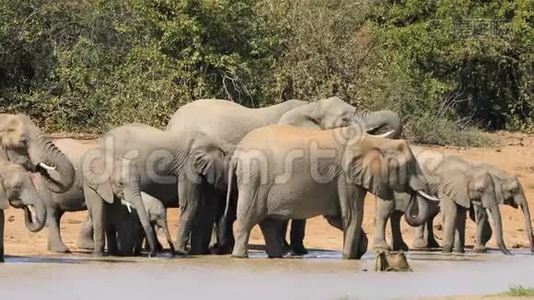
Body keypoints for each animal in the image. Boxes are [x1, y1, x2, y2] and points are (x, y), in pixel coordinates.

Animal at [374, 148, 512, 253]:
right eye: (481, 190)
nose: (509, 254)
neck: (468, 168)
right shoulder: (446, 189)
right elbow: (451, 213)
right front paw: (446, 251)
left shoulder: (460, 193)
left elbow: (460, 215)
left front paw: (459, 252)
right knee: (385, 211)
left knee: (397, 215)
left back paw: (401, 248)